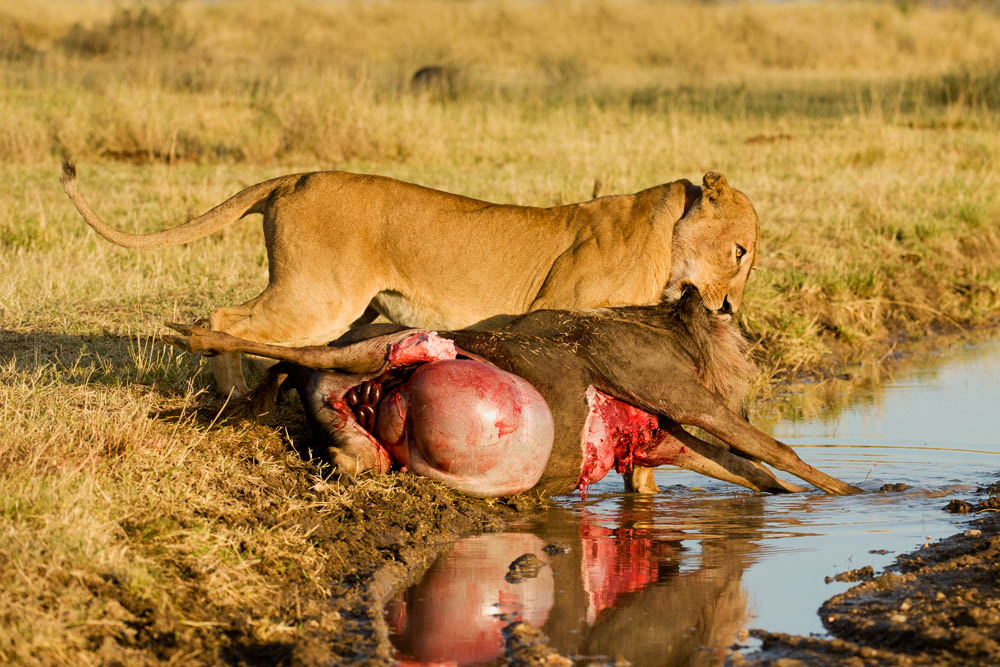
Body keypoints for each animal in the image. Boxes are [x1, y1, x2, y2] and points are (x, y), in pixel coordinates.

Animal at [60, 163, 759, 409]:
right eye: (741, 252)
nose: (727, 308)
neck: (668, 234)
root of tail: (295, 176)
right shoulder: (560, 310)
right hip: (318, 297)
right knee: (223, 316)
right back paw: (229, 394)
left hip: (345, 308)